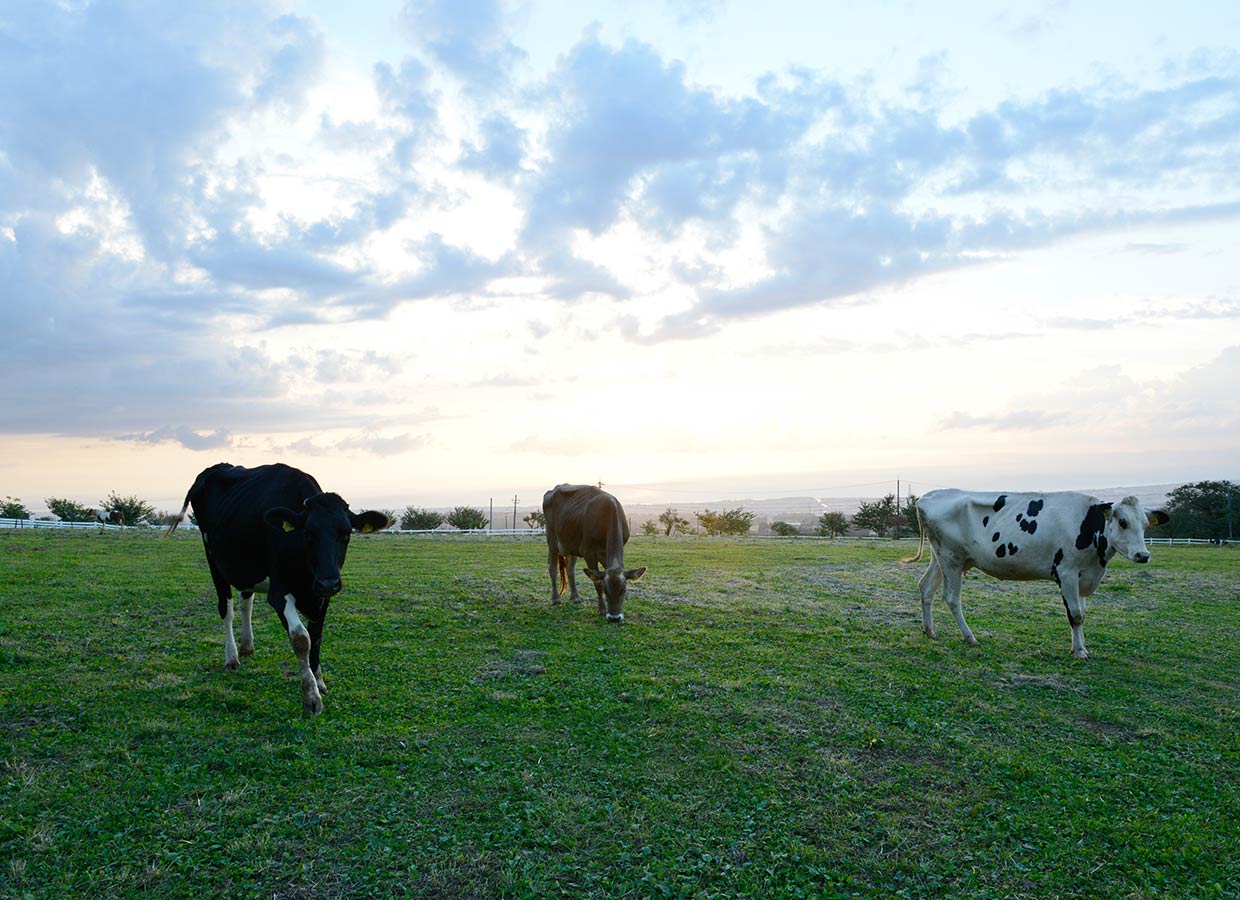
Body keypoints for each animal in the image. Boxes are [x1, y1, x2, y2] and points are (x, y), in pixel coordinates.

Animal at [164, 466, 386, 719]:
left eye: (346, 533)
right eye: (308, 533)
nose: (329, 582)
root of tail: (213, 469)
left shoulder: (322, 595)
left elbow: (317, 636)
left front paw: (319, 681)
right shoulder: (279, 593)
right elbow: (301, 639)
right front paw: (311, 697)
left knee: (246, 602)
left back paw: (247, 646)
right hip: (214, 559)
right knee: (226, 608)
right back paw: (232, 657)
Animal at [545, 483, 649, 624]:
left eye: (623, 590)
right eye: (606, 590)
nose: (614, 618)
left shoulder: (606, 556)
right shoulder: (588, 552)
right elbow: (597, 582)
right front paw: (602, 610)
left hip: (572, 544)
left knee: (570, 569)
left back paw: (575, 597)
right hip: (552, 538)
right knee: (552, 568)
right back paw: (556, 599)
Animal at [907, 490, 1165, 659]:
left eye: (1145, 525)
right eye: (1122, 522)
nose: (1143, 555)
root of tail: (928, 495)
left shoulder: (1083, 576)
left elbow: (1082, 614)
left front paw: (1080, 646)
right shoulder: (1067, 573)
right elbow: (1075, 615)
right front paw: (1079, 652)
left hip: (942, 557)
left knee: (925, 587)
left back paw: (930, 631)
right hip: (951, 558)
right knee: (952, 598)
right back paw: (969, 637)